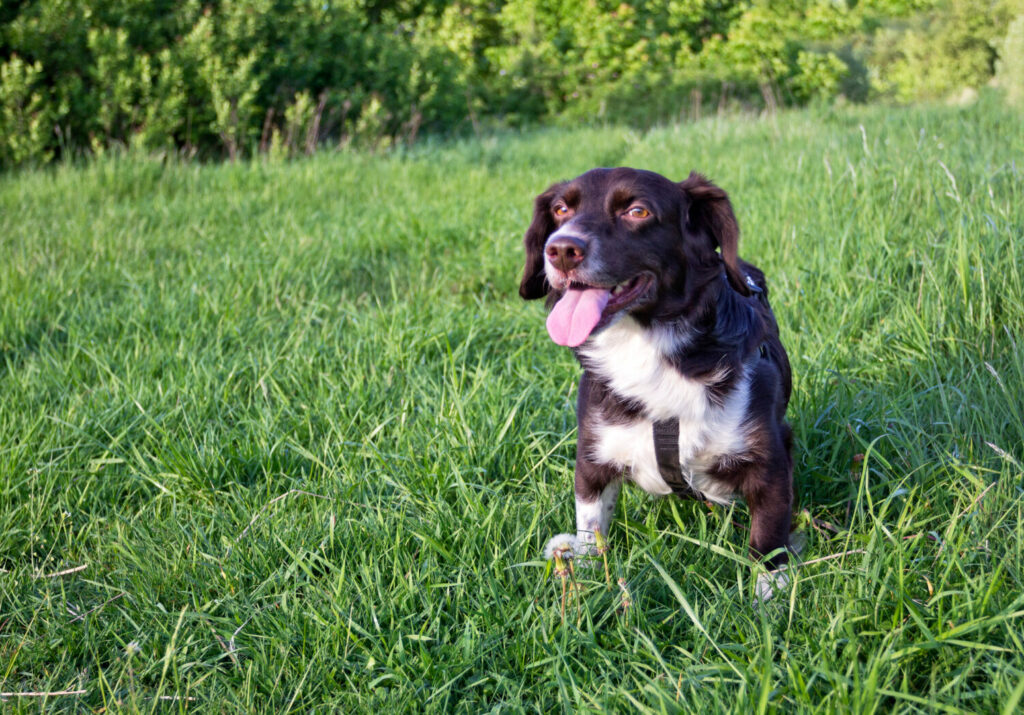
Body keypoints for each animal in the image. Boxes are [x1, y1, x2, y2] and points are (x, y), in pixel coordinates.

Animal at [516, 165, 794, 590]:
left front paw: (771, 599)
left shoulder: (771, 465)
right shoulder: (592, 458)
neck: (644, 343)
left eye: (638, 212)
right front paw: (591, 581)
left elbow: (768, 545)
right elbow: (591, 529)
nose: (561, 249)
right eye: (561, 209)